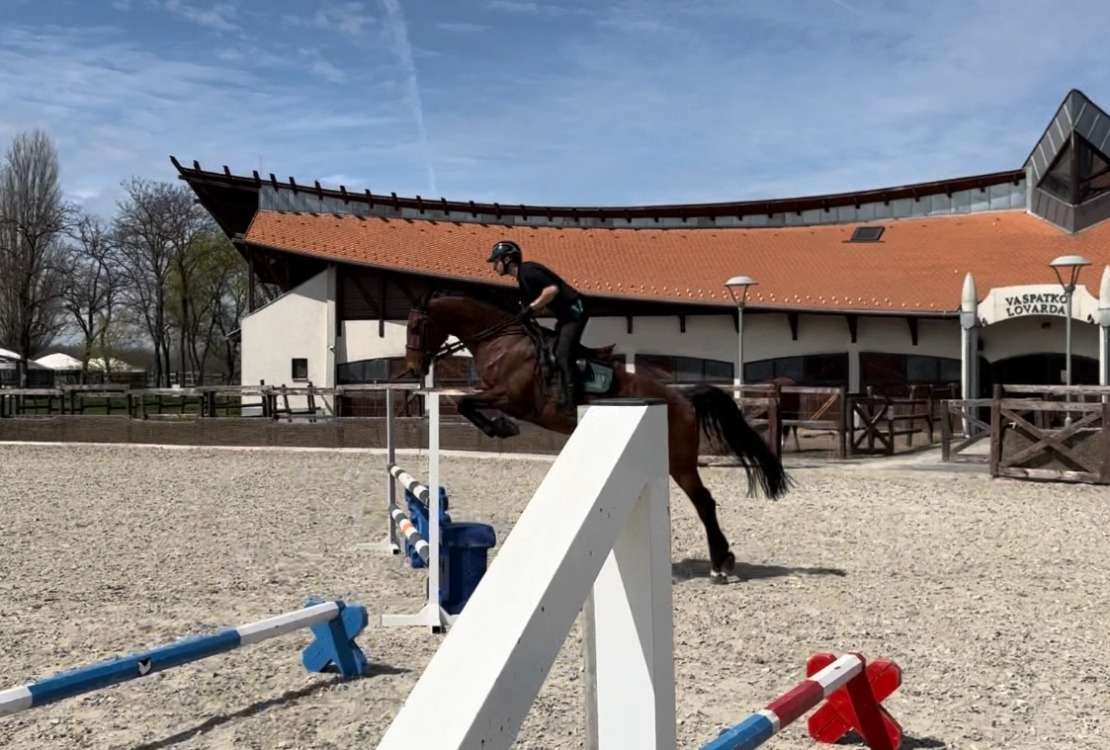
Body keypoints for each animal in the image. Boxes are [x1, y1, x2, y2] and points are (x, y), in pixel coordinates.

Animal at [403, 291, 794, 582]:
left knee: (705, 502)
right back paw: (722, 560)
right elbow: (464, 402)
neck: (502, 342)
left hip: (679, 461)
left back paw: (720, 564)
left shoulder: (511, 398)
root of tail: (683, 397)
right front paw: (498, 427)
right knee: (704, 502)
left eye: (416, 327)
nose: (412, 368)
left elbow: (465, 402)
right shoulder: (498, 394)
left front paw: (501, 427)